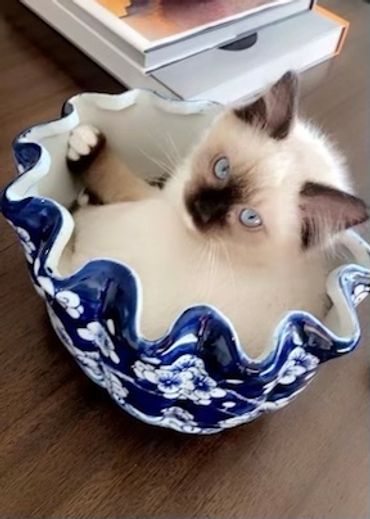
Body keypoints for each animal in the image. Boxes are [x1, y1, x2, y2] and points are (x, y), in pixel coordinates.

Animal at [60, 71, 368, 360]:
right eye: (222, 168)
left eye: (250, 218)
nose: (202, 208)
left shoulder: (155, 200)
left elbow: (117, 180)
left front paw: (86, 145)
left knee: (81, 214)